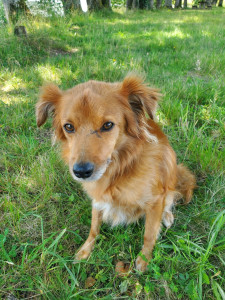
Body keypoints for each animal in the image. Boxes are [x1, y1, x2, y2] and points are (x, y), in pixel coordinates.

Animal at [36, 75, 196, 272]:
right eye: (69, 127)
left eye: (108, 125)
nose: (81, 172)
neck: (119, 170)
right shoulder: (97, 199)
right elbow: (94, 227)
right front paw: (85, 250)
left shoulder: (155, 200)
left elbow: (149, 233)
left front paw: (144, 259)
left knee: (170, 198)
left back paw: (167, 216)